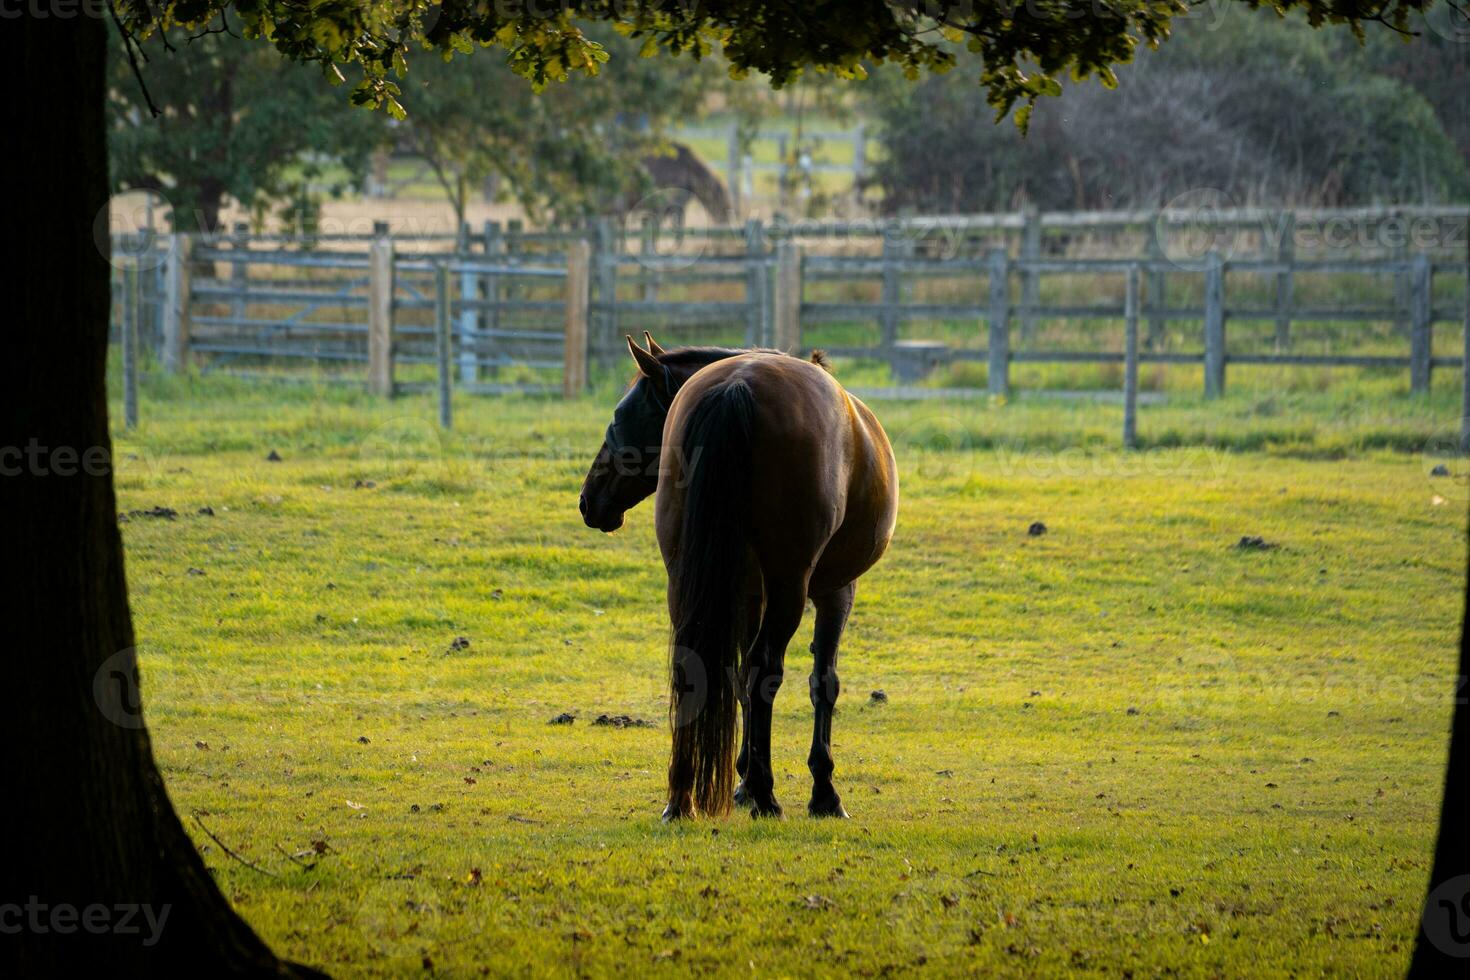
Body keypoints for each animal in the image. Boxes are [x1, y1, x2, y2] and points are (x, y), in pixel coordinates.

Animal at [579, 337, 899, 822]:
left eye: (619, 418)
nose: (588, 500)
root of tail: (737, 385)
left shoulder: (746, 594)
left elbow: (737, 680)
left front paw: (744, 778)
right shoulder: (835, 592)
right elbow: (821, 682)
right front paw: (821, 792)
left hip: (688, 584)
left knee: (694, 669)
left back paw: (681, 800)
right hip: (789, 587)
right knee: (765, 669)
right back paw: (767, 797)